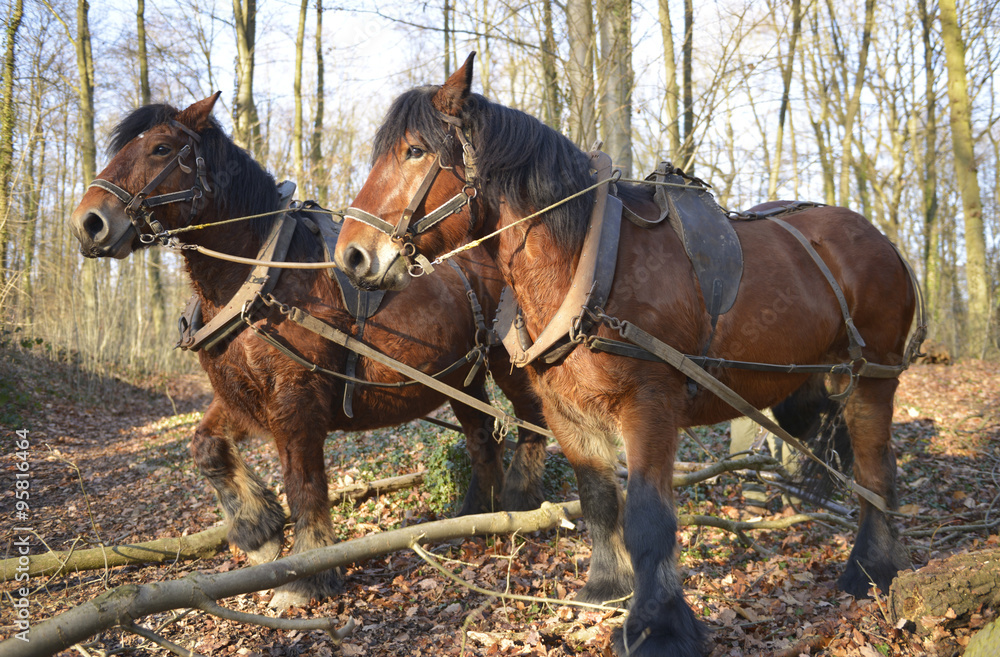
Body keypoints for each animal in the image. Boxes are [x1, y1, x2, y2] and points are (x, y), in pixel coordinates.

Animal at [66, 95, 552, 608]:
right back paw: (477, 517)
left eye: (160, 148)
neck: (260, 277)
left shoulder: (296, 398)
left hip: (508, 365)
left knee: (531, 421)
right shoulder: (243, 394)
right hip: (461, 378)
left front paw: (306, 573)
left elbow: (303, 482)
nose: (88, 223)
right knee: (481, 439)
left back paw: (522, 502)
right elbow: (206, 447)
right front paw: (258, 532)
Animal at [334, 59, 916, 652]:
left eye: (414, 151)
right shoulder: (566, 411)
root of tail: (883, 240)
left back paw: (870, 569)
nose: (350, 256)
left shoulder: (650, 403)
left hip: (874, 377)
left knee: (875, 471)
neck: (586, 263)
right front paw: (605, 589)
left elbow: (647, 516)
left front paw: (657, 626)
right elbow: (598, 500)